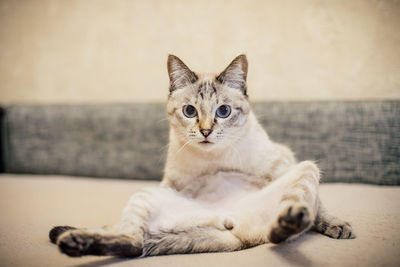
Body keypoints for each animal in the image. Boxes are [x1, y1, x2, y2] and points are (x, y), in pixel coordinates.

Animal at [49, 54, 354, 258]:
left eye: (223, 111)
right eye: (189, 111)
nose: (206, 131)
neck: (215, 158)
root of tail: (233, 230)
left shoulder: (284, 164)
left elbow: (320, 209)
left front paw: (337, 226)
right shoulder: (169, 184)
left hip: (306, 168)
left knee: (285, 225)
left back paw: (291, 221)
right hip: (145, 196)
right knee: (133, 241)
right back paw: (75, 242)